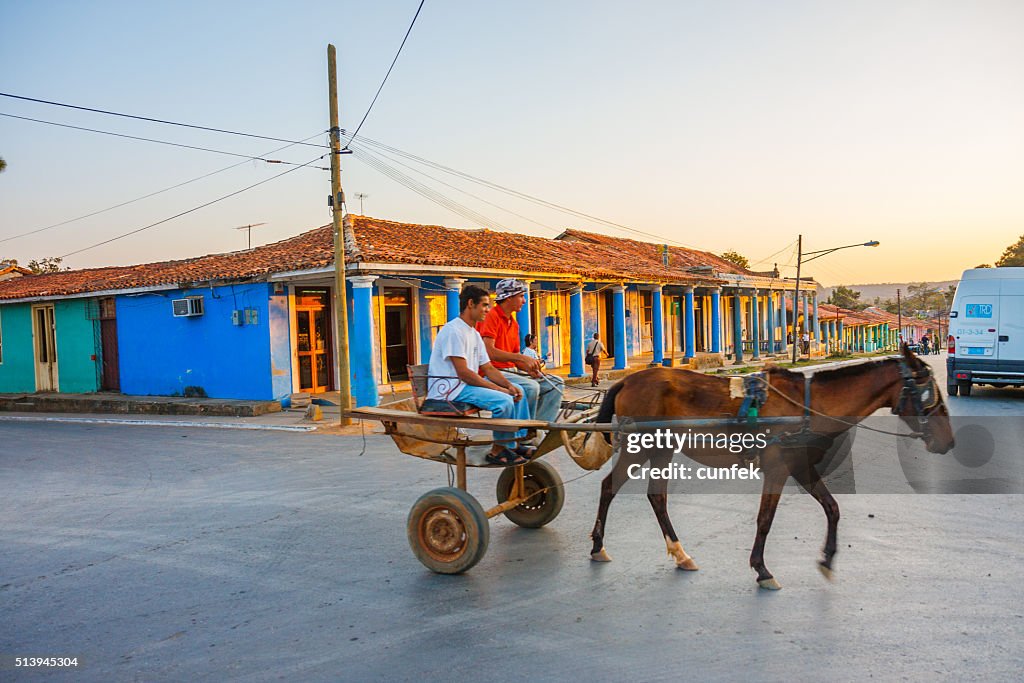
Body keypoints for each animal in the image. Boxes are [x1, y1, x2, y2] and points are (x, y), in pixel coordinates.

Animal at [589, 344, 954, 589]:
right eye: (928, 393)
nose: (948, 442)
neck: (809, 405)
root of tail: (626, 382)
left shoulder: (802, 468)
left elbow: (832, 508)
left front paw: (827, 559)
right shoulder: (779, 470)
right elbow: (765, 519)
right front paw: (762, 570)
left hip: (662, 449)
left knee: (656, 497)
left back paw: (681, 555)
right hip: (640, 447)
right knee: (609, 487)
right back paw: (598, 547)